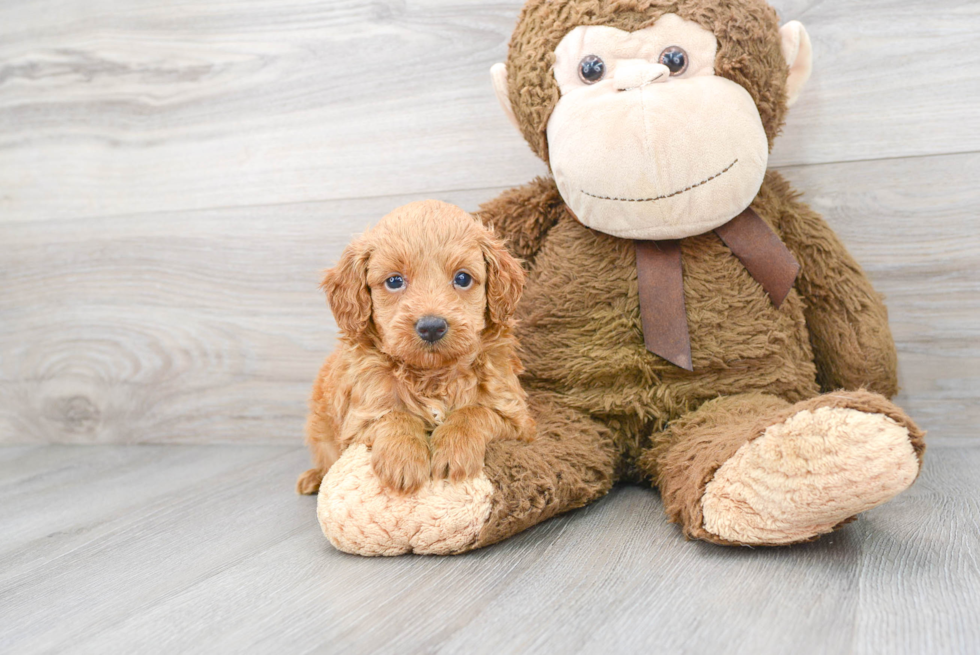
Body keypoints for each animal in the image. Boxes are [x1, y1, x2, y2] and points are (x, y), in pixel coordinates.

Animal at [294, 200, 532, 498]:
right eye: (395, 281)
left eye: (463, 278)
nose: (431, 327)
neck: (432, 375)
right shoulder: (358, 421)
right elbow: (395, 416)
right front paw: (403, 460)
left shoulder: (517, 419)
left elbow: (474, 412)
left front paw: (453, 450)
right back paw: (314, 477)